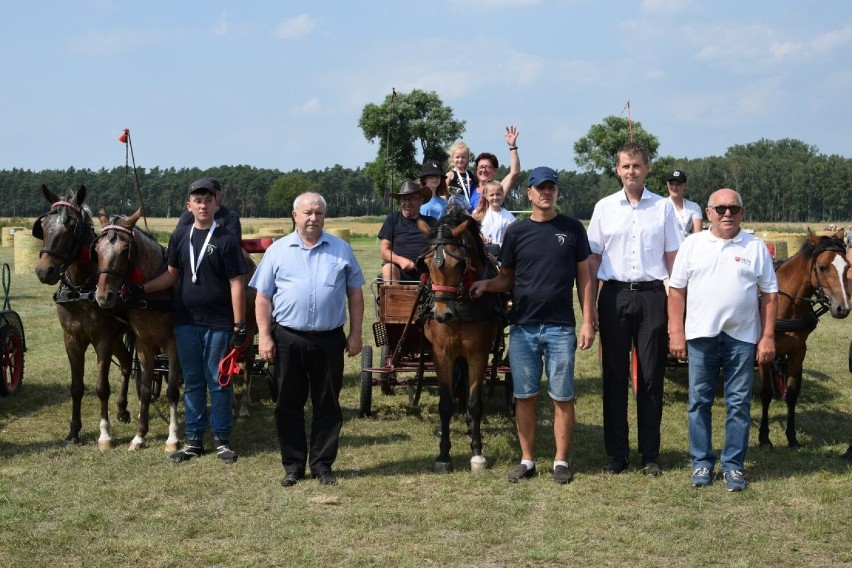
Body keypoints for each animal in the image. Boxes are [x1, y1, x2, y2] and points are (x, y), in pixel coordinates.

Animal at [32, 185, 135, 448]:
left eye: (71, 225)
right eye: (43, 224)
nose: (44, 271)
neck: (81, 290)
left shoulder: (103, 339)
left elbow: (101, 387)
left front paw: (105, 434)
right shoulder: (72, 339)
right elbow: (76, 387)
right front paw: (74, 432)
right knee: (126, 362)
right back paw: (122, 409)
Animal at [418, 206, 506, 472]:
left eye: (459, 263)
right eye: (426, 264)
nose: (441, 314)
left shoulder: (478, 352)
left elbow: (475, 402)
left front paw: (477, 452)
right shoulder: (441, 353)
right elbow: (445, 403)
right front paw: (443, 455)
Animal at [764, 230, 848, 448]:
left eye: (847, 266)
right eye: (822, 267)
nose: (842, 308)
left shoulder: (798, 351)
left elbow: (792, 394)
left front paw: (792, 438)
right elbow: (766, 394)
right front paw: (764, 438)